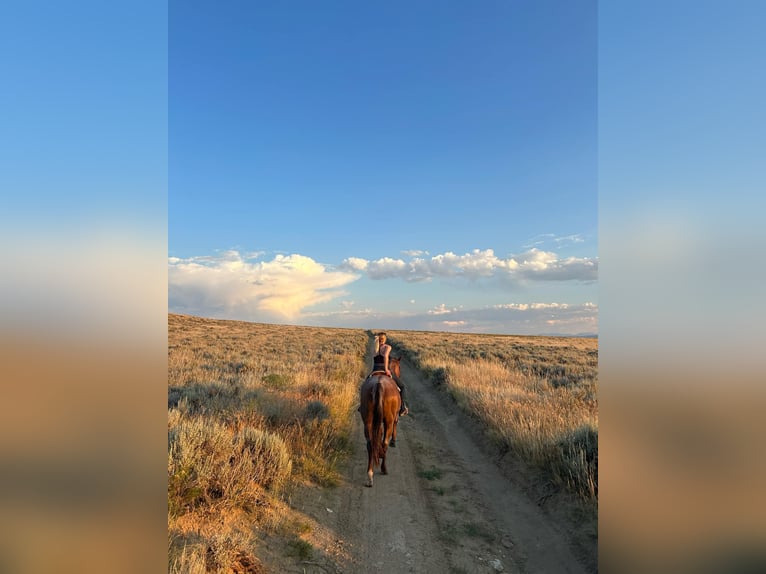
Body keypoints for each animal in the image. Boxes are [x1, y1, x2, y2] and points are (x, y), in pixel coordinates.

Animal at [364, 358, 404, 488]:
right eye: (399, 367)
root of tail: (379, 384)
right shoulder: (394, 418)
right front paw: (393, 441)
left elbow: (378, 434)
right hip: (388, 421)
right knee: (385, 443)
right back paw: (384, 468)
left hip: (367, 421)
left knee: (370, 444)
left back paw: (370, 475)